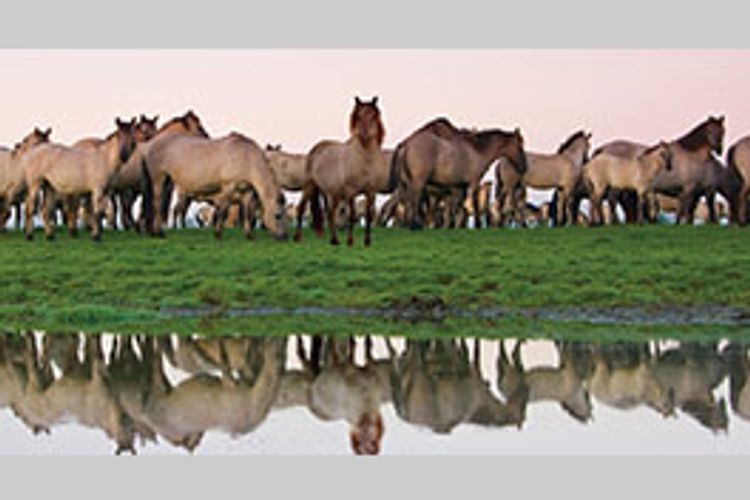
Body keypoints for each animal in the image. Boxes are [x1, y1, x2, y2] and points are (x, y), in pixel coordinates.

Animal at [143, 131, 288, 240]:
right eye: (277, 215)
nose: (284, 237)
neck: (246, 157)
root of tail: (151, 142)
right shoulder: (228, 187)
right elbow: (222, 212)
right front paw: (218, 234)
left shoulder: (246, 191)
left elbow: (248, 213)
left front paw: (249, 235)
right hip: (158, 178)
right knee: (157, 203)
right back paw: (159, 233)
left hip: (167, 180)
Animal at [294, 95, 388, 246]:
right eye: (358, 116)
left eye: (374, 116)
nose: (364, 134)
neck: (365, 161)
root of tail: (316, 149)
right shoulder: (351, 191)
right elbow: (352, 215)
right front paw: (350, 241)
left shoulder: (371, 192)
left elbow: (368, 215)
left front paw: (367, 242)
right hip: (310, 186)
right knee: (301, 208)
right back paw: (298, 238)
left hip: (332, 193)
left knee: (330, 213)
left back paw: (334, 240)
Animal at [394, 116, 528, 229]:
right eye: (520, 146)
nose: (524, 167)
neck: (477, 150)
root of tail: (407, 144)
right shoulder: (474, 182)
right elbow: (472, 202)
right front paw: (476, 224)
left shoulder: (458, 186)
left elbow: (457, 206)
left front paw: (454, 225)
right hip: (419, 181)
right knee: (414, 199)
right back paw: (413, 225)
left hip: (407, 182)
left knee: (407, 199)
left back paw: (408, 224)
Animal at [596, 116, 724, 224]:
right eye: (710, 131)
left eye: (722, 131)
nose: (719, 149)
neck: (691, 155)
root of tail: (603, 148)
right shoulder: (690, 189)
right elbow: (686, 211)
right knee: (612, 201)